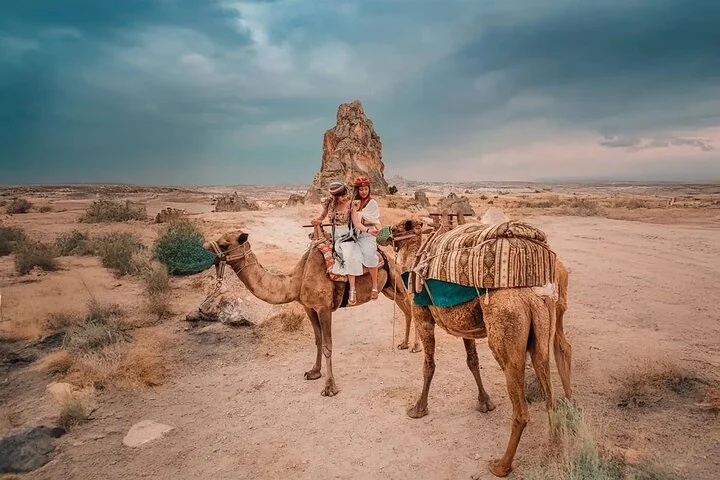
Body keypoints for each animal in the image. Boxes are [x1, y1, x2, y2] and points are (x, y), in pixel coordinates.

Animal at [202, 227, 418, 397]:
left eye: (223, 245)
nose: (204, 247)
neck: (297, 280)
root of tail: (387, 253)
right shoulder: (309, 307)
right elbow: (318, 340)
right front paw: (314, 372)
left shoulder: (324, 308)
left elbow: (328, 345)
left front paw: (330, 388)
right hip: (387, 288)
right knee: (406, 309)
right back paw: (404, 343)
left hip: (396, 278)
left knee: (411, 305)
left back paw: (415, 347)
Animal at [388, 219, 572, 478]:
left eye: (396, 228)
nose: (384, 235)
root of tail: (531, 296)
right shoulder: (466, 327)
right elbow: (472, 361)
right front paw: (485, 403)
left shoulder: (422, 316)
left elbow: (429, 365)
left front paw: (418, 408)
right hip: (544, 324)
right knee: (550, 376)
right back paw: (555, 445)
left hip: (505, 333)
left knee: (520, 406)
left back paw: (502, 465)